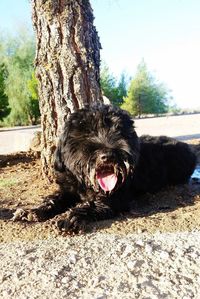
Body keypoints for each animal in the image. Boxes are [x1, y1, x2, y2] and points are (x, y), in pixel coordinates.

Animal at [12, 104, 197, 233]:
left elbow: (93, 205)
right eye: (86, 132)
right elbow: (54, 199)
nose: (108, 155)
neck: (86, 185)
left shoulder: (115, 197)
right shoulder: (68, 189)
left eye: (120, 130)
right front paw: (33, 210)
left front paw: (71, 217)